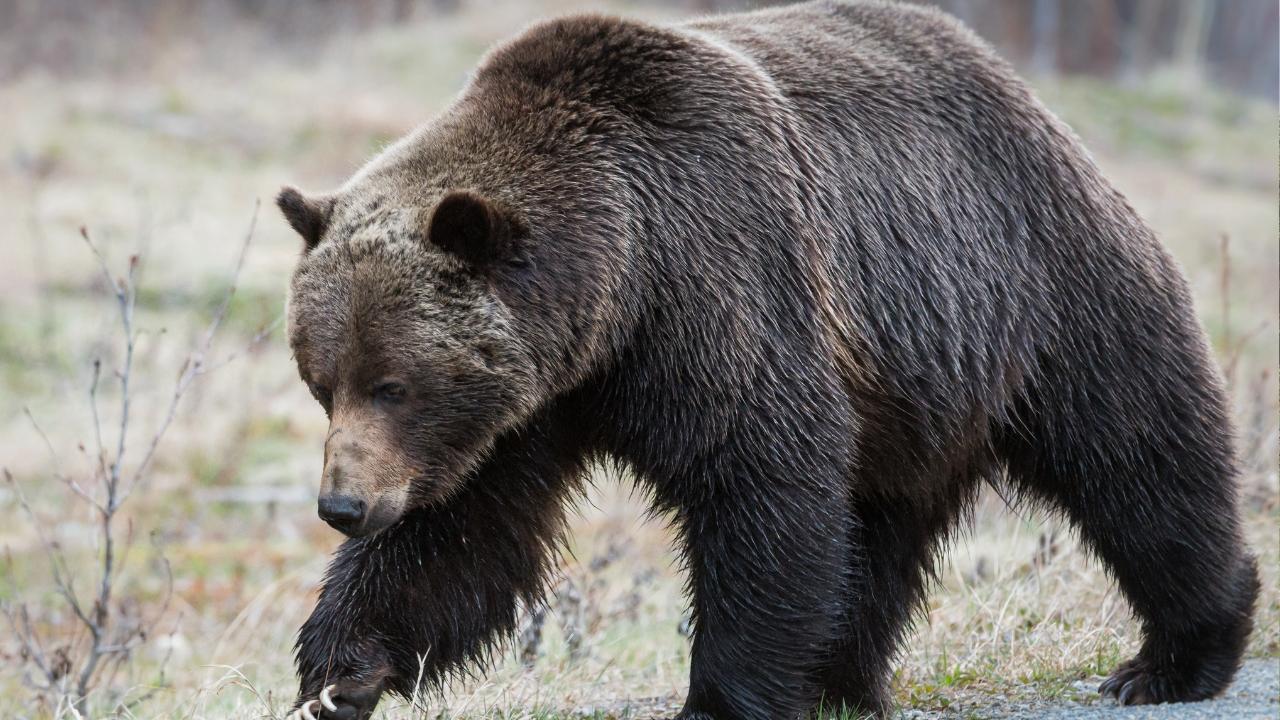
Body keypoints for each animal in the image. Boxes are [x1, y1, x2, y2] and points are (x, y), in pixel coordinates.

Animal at [276, 1, 1259, 718]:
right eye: (321, 384)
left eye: (394, 383)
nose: (342, 506)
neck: (614, 289)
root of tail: (1029, 95)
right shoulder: (529, 407)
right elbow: (461, 533)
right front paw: (338, 669)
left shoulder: (718, 288)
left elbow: (760, 483)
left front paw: (721, 698)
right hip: (909, 388)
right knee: (879, 527)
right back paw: (840, 682)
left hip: (1039, 291)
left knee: (1137, 455)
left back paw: (1175, 655)